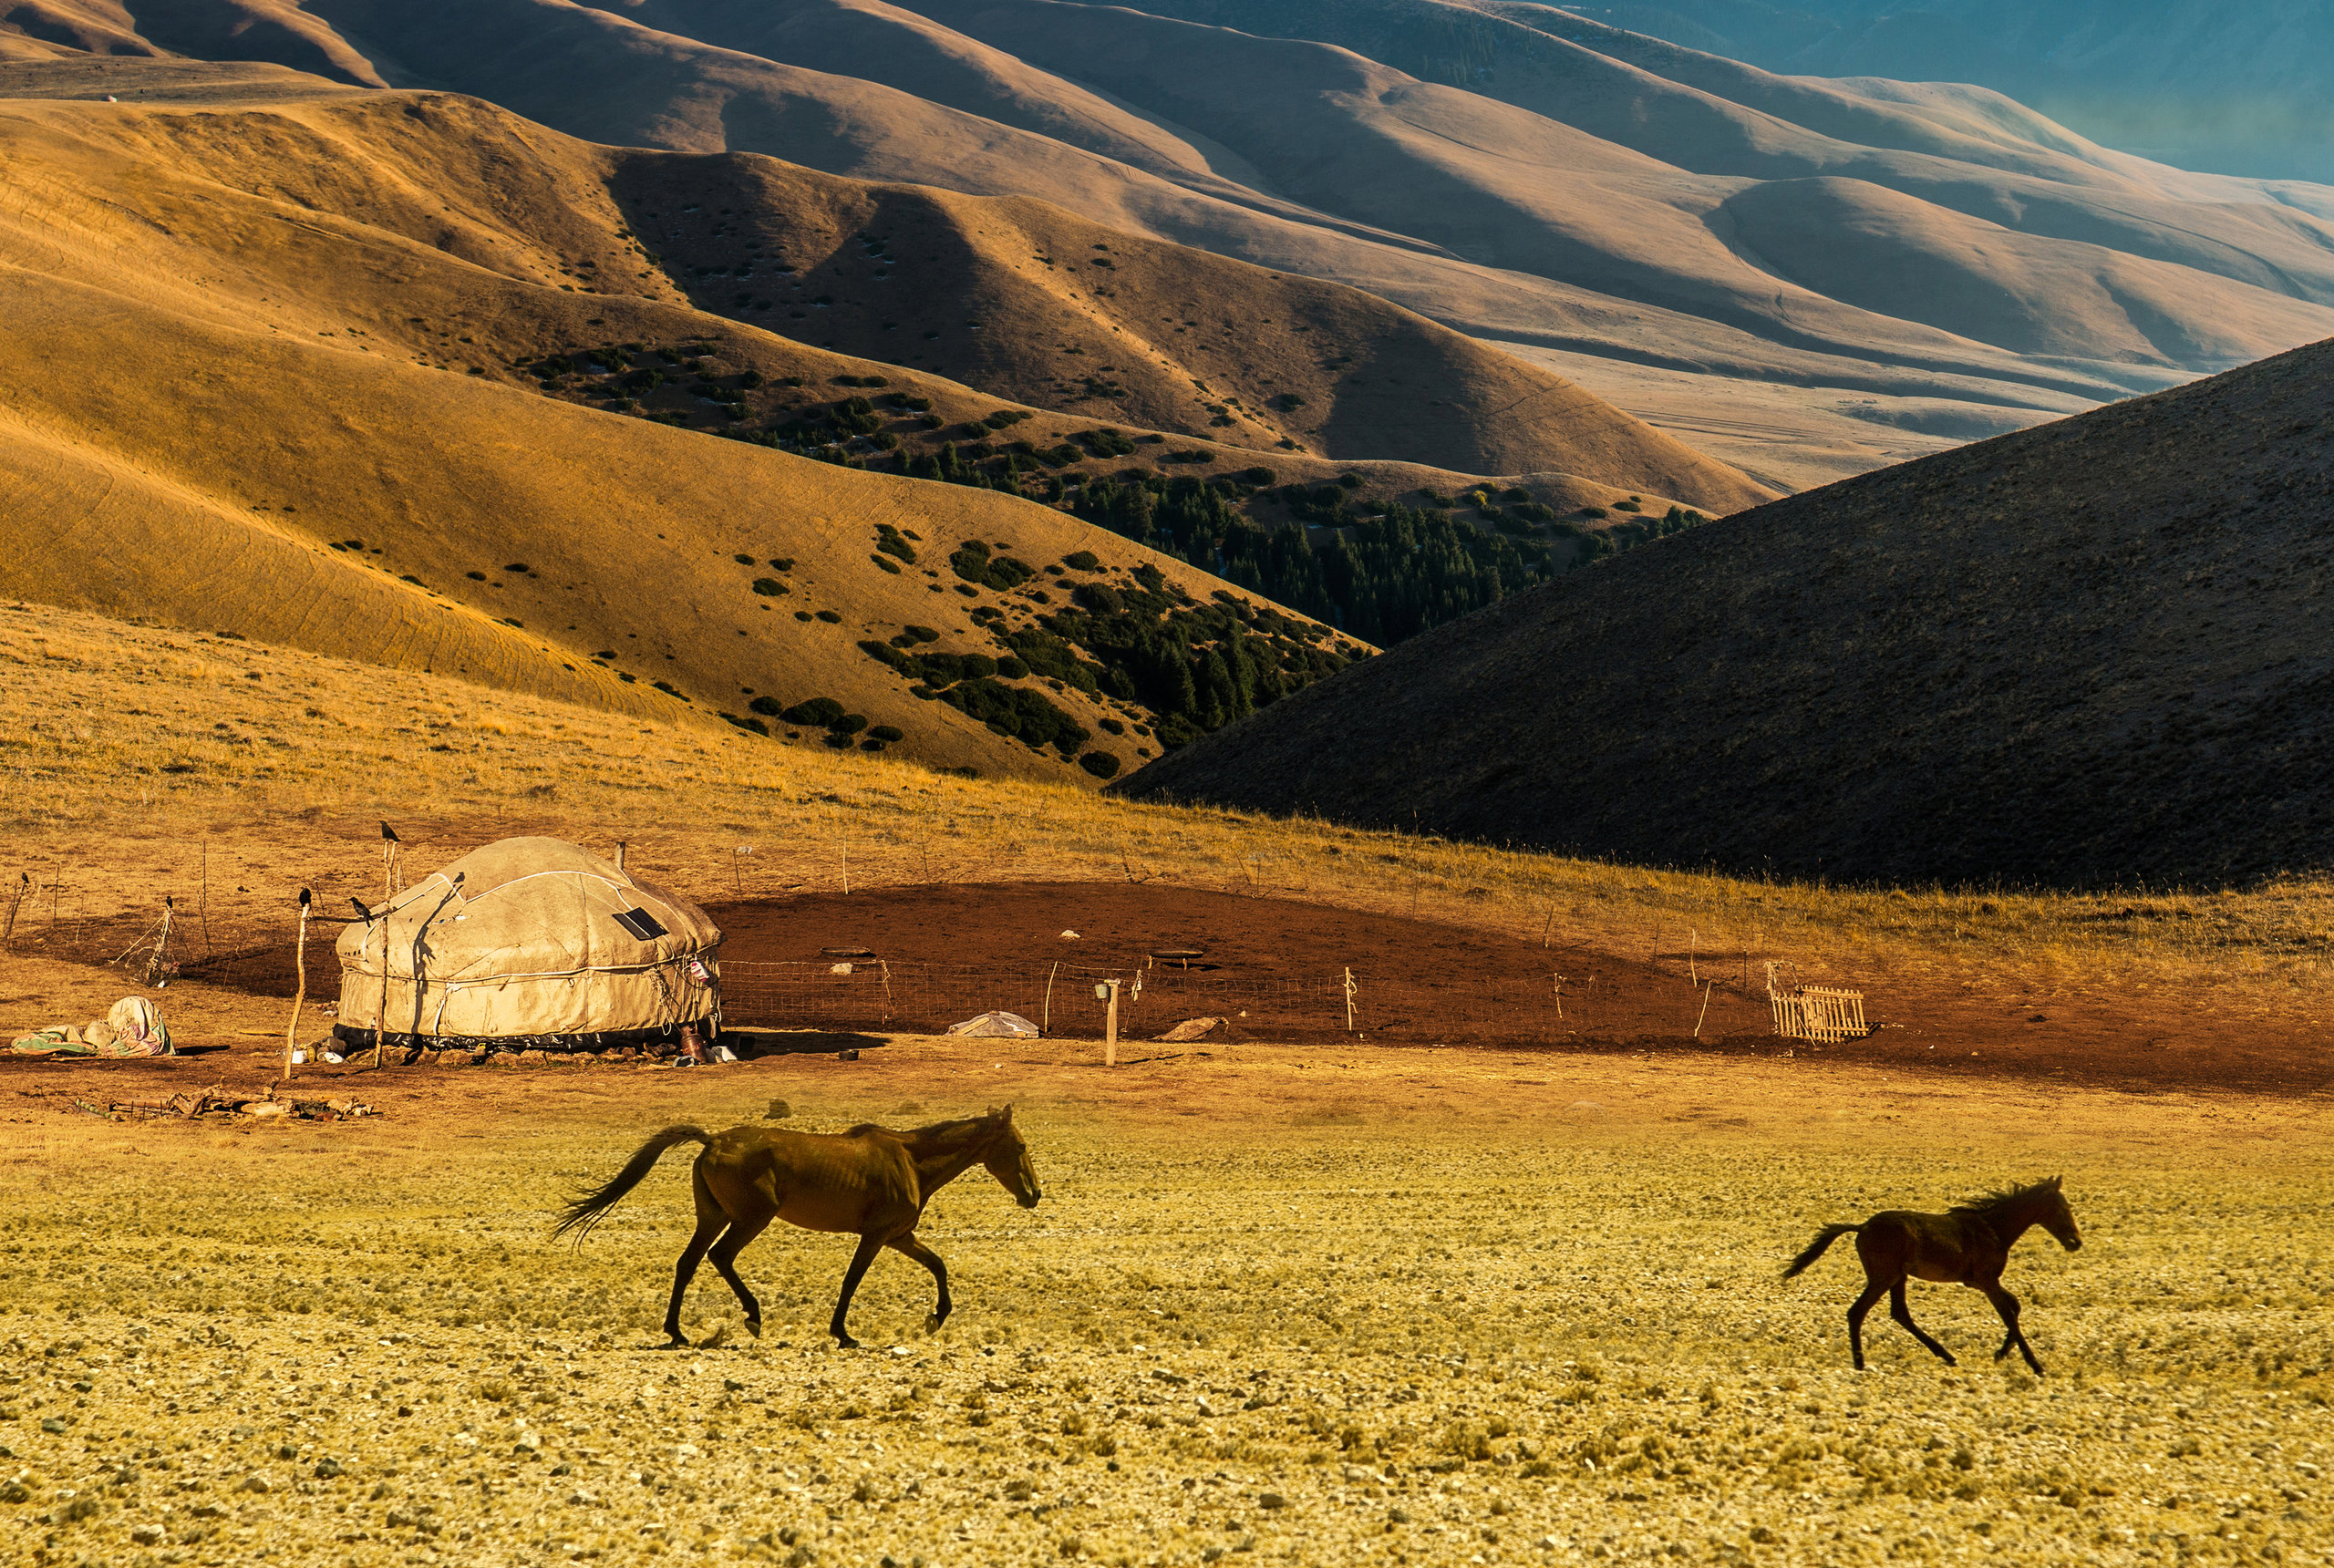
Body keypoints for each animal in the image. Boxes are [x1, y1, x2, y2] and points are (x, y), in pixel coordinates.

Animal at [555, 1101, 1040, 1344]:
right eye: (1019, 1147)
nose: (1034, 1195)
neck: (910, 1160)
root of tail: (713, 1141)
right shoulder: (876, 1236)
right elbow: (851, 1281)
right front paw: (843, 1333)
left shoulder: (899, 1236)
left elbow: (938, 1264)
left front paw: (936, 1317)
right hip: (750, 1219)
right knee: (720, 1257)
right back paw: (751, 1317)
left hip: (713, 1217)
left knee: (688, 1263)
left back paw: (676, 1332)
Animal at [1773, 1176, 2091, 1372]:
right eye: (2062, 1208)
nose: (2075, 1242)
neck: (1994, 1228)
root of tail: (1862, 1226)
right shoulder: (1986, 1282)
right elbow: (2010, 1314)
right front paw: (2035, 1365)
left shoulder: (1979, 1282)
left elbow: (2015, 1307)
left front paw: (2001, 1353)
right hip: (1883, 1277)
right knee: (1858, 1312)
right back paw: (1861, 1363)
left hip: (1897, 1277)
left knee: (1900, 1313)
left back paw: (1947, 1355)